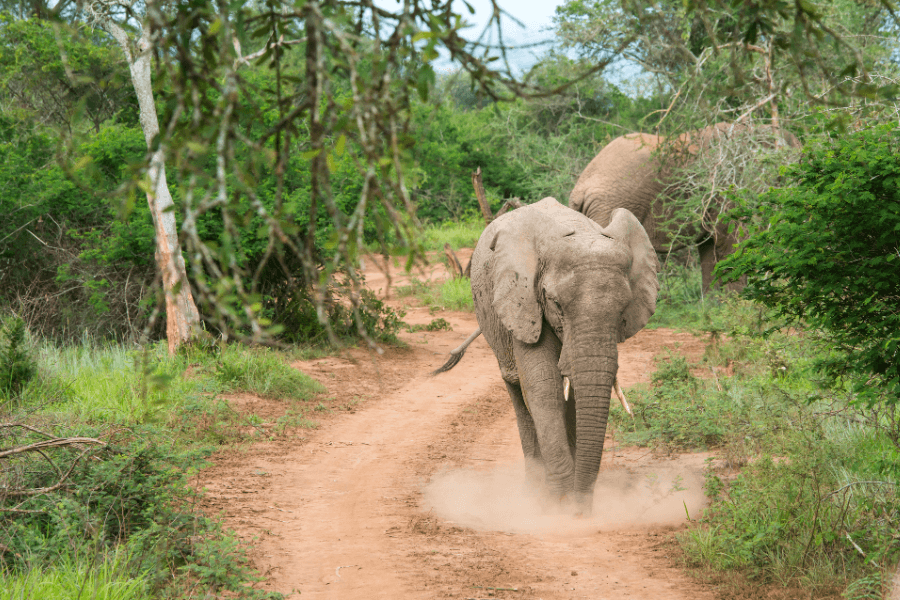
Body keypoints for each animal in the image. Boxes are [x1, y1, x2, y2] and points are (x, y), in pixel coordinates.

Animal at [433, 198, 659, 515]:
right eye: (555, 304)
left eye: (623, 308)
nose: (581, 509)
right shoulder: (523, 300)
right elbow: (543, 386)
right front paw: (557, 504)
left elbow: (570, 390)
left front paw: (569, 501)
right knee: (517, 392)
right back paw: (533, 491)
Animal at [569, 123, 800, 291]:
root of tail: (579, 189)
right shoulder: (725, 185)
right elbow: (730, 240)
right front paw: (738, 303)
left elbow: (709, 247)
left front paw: (715, 308)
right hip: (611, 204)